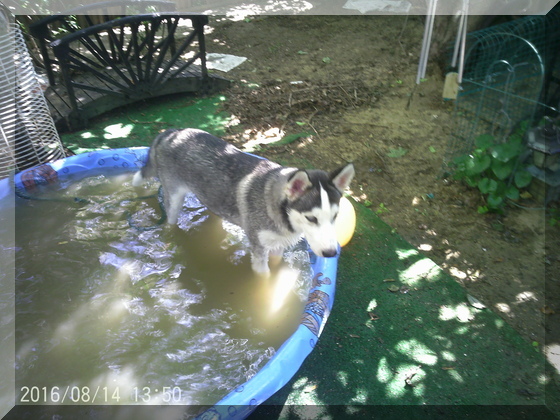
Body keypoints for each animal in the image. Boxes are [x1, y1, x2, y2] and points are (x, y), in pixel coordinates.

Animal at [134, 128, 354, 274]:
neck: (280, 214)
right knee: (170, 222)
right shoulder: (258, 249)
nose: (331, 253)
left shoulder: (278, 245)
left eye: (335, 217)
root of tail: (169, 132)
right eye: (311, 219)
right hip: (173, 200)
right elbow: (264, 282)